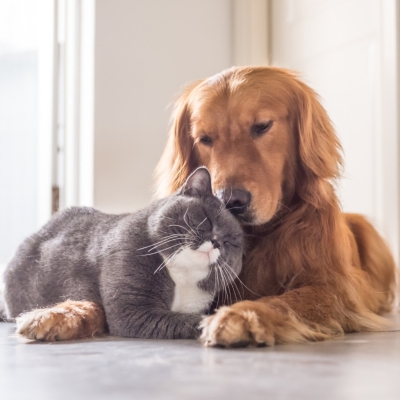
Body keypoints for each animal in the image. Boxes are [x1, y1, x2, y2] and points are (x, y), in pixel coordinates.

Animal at [3, 167, 244, 340]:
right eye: (206, 219)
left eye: (231, 242)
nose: (216, 242)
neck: (182, 277)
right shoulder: (133, 310)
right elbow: (189, 320)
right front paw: (220, 324)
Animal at [155, 65, 396, 346]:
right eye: (204, 138)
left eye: (262, 126)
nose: (230, 201)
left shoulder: (335, 288)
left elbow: (286, 300)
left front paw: (242, 315)